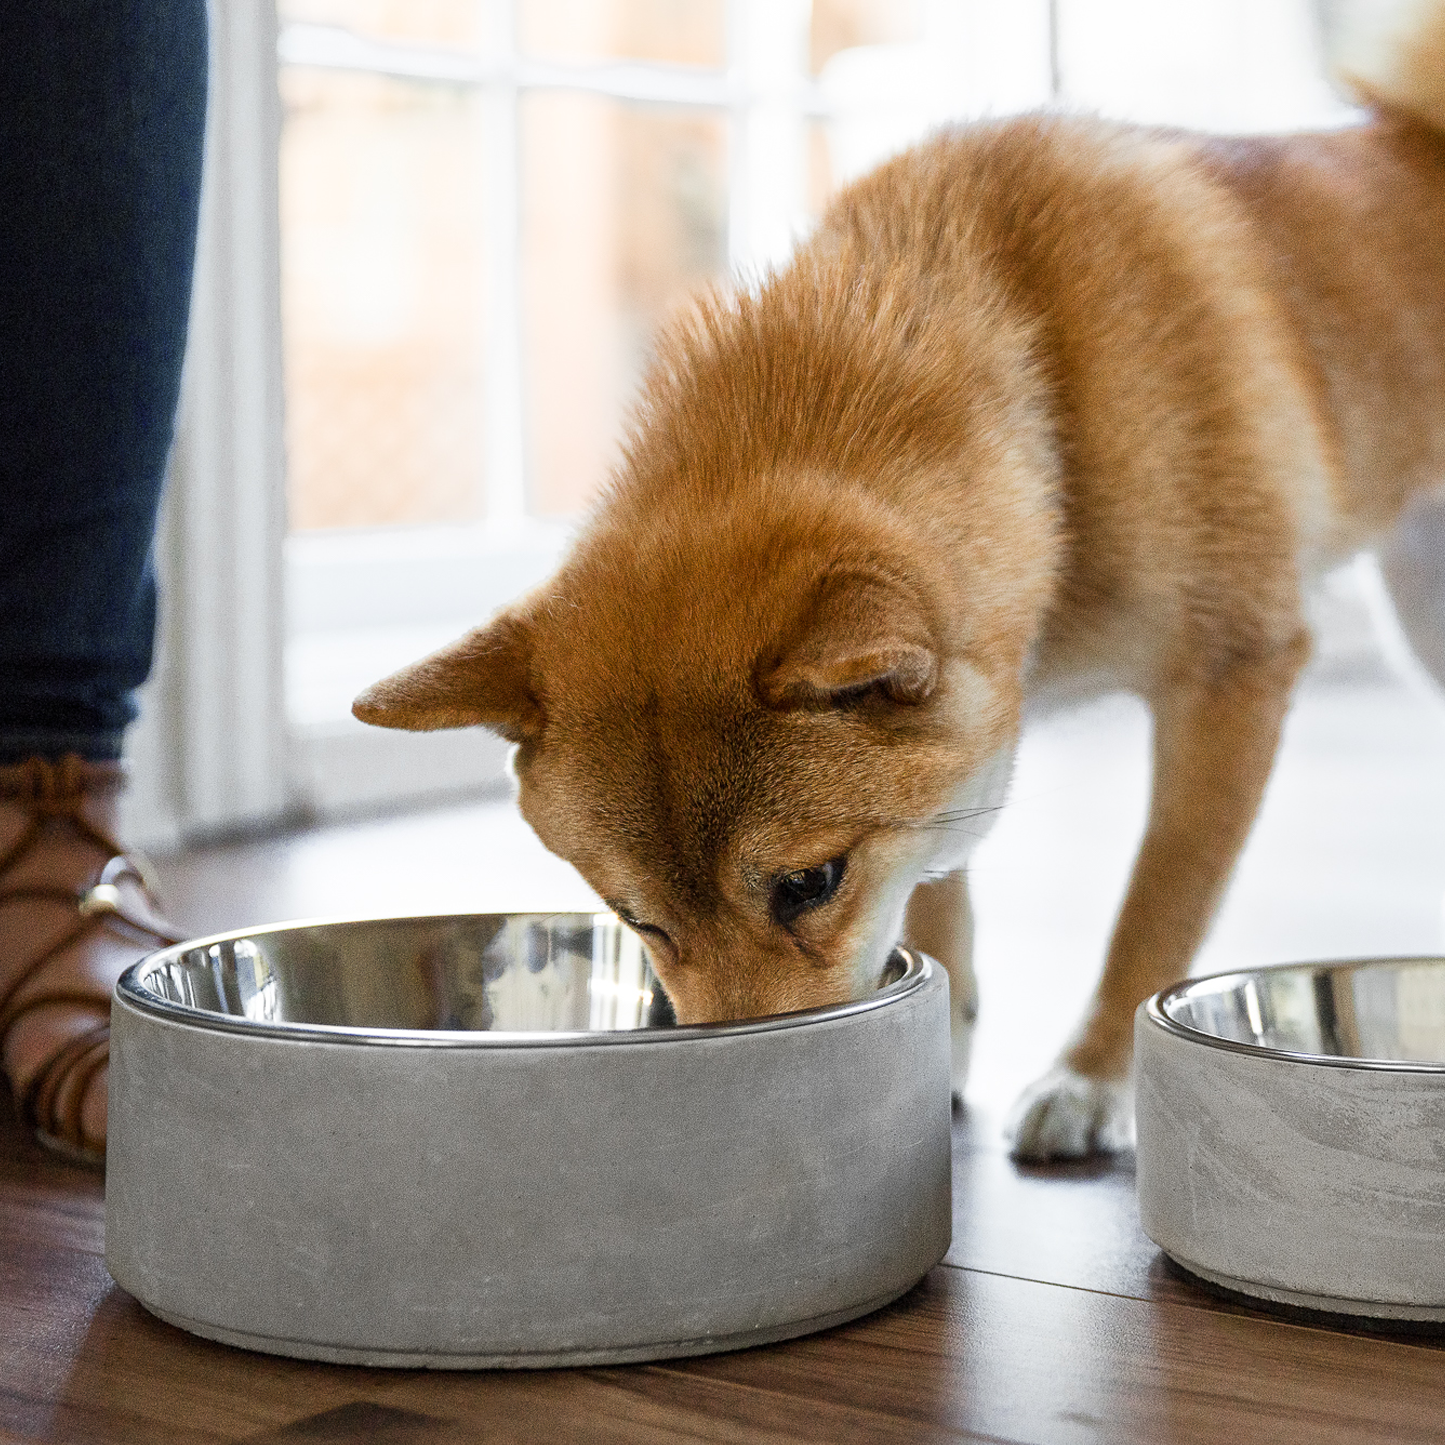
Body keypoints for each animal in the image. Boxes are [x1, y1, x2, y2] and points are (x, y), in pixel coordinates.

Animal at [352, 8, 1445, 1161]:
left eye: (808, 884)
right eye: (638, 918)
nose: (735, 1098)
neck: (1039, 377)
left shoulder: (1233, 672)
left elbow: (1158, 904)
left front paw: (1094, 1073)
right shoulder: (966, 726)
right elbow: (936, 881)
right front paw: (943, 1027)